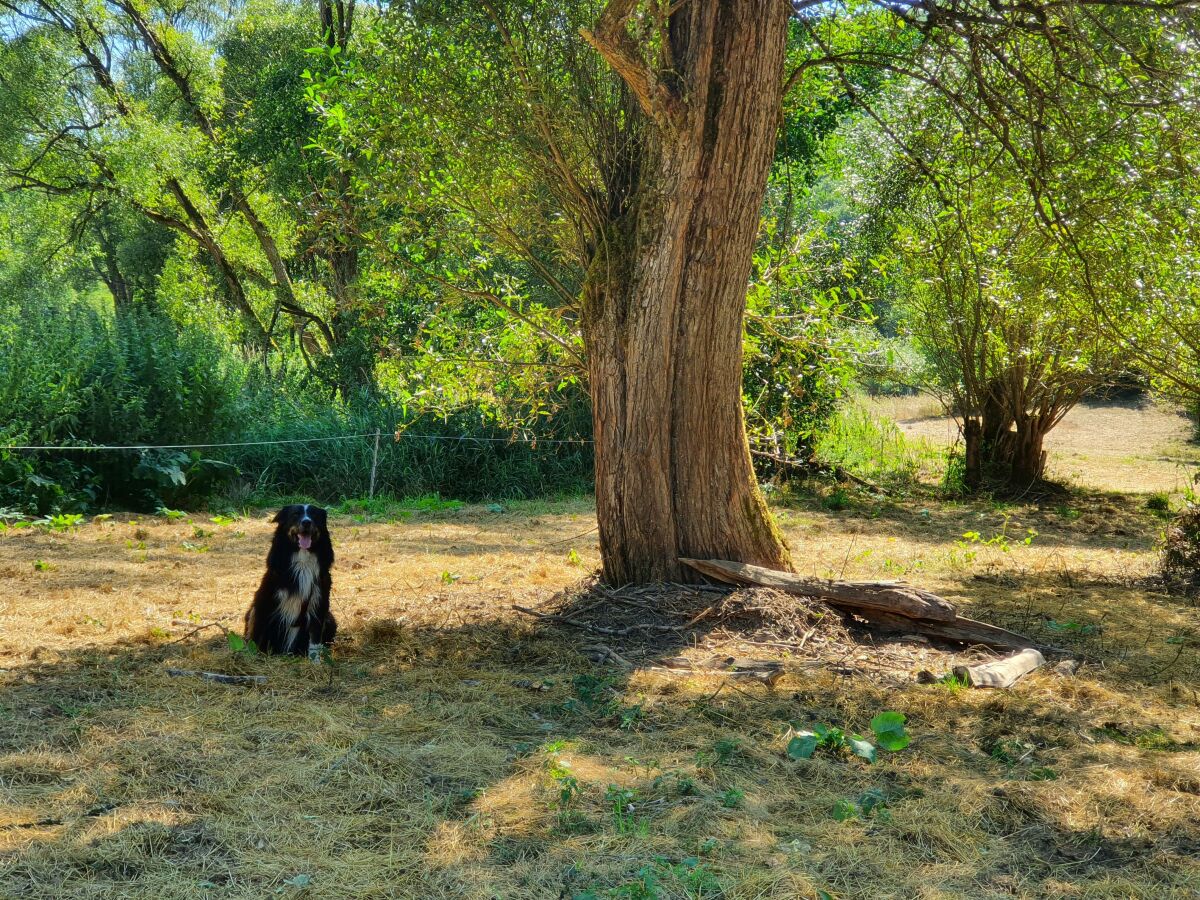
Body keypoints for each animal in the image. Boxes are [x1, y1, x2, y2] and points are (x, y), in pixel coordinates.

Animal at [243, 508, 338, 662]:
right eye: (295, 514)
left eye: (314, 515)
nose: (306, 522)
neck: (302, 561)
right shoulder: (264, 602)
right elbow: (256, 634)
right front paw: (252, 657)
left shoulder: (319, 602)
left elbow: (315, 638)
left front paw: (315, 662)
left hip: (330, 619)